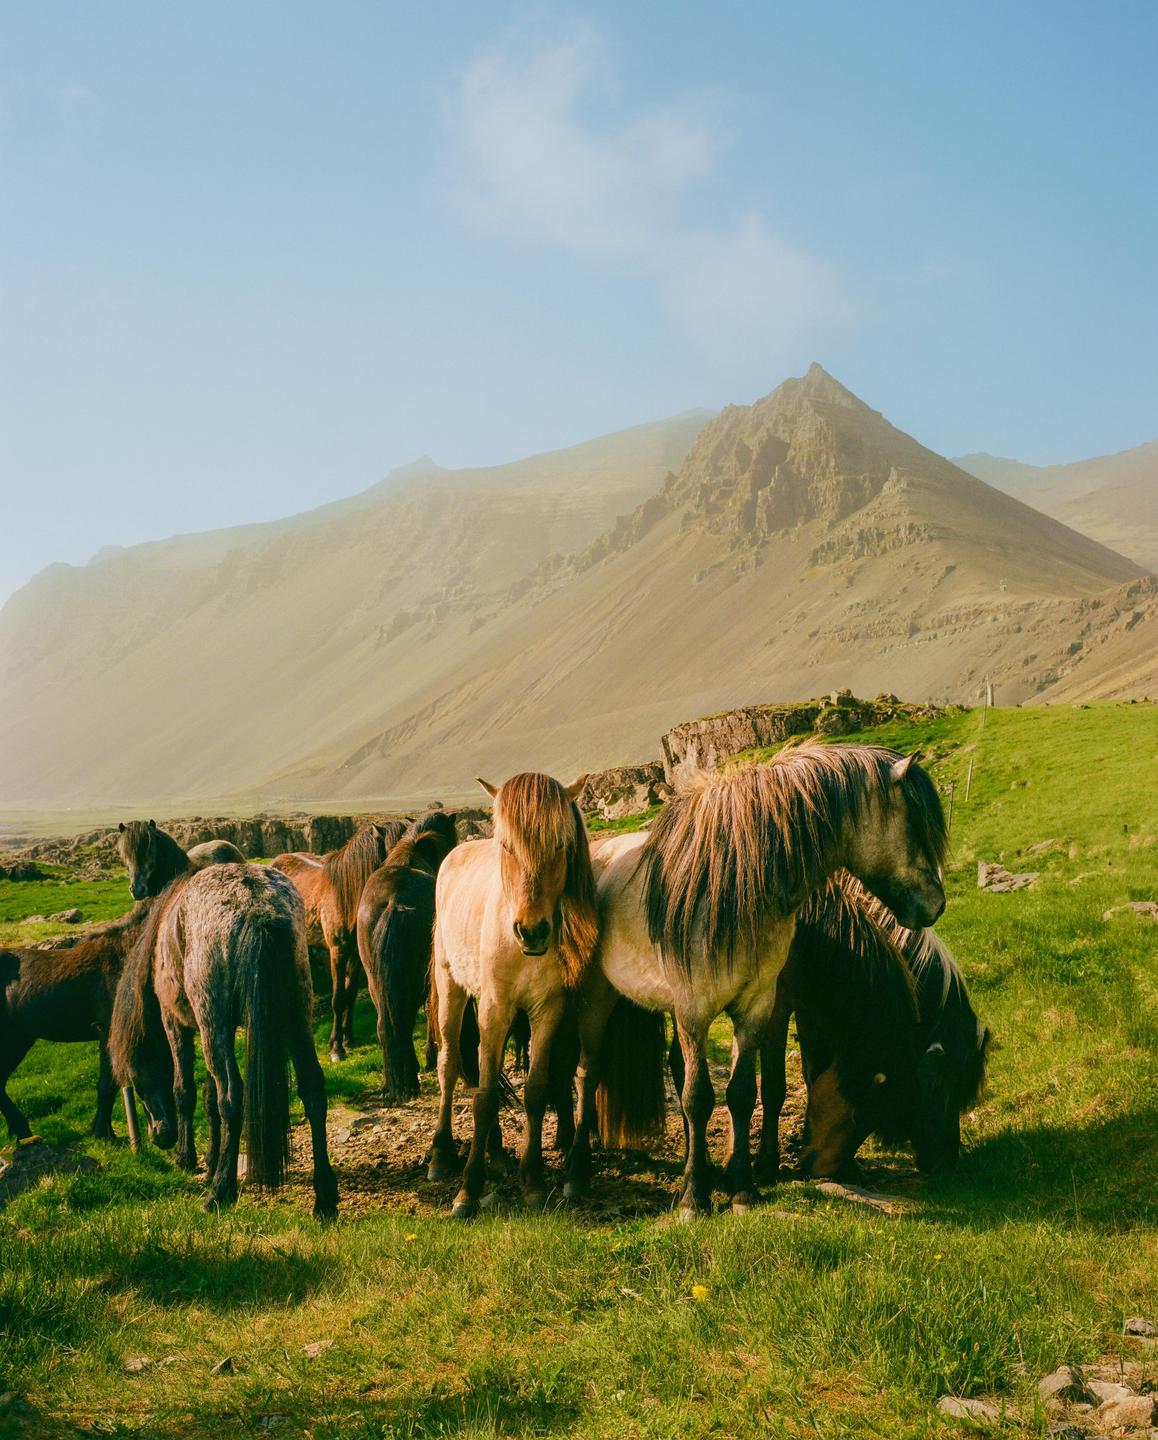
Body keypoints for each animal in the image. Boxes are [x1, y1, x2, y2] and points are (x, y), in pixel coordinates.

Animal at [109, 863, 338, 1218]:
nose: (160, 1135)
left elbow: (186, 1091)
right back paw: (324, 1196)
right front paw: (210, 1159)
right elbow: (207, 1097)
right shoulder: (214, 1032)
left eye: (139, 1080)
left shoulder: (178, 1024)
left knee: (232, 1097)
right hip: (295, 1015)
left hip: (214, 1022)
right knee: (312, 1087)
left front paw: (188, 1158)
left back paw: (221, 1191)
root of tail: (257, 907)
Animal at [273, 822, 404, 1062]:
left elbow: (350, 994)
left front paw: (348, 1039)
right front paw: (336, 1047)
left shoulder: (355, 954)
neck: (346, 895)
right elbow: (338, 998)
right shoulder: (338, 951)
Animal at [428, 771, 656, 1218]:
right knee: (449, 1065)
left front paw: (532, 1181)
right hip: (452, 987)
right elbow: (483, 1096)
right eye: (506, 845)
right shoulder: (496, 1009)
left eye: (560, 844)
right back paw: (442, 1155)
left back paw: (499, 1157)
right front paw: (468, 1190)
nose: (531, 931)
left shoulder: (546, 1011)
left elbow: (534, 1090)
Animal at [563, 743, 948, 1216]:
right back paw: (576, 1175)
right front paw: (694, 1197)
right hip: (598, 1000)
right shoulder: (695, 1011)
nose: (935, 905)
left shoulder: (757, 1007)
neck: (729, 887)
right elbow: (697, 1098)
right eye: (915, 824)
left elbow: (743, 1093)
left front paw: (742, 1188)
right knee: (587, 1074)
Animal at [756, 875, 990, 1181]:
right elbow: (774, 1088)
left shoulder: (815, 1004)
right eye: (938, 1088)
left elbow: (811, 1072)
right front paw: (767, 1167)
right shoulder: (776, 1007)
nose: (945, 1160)